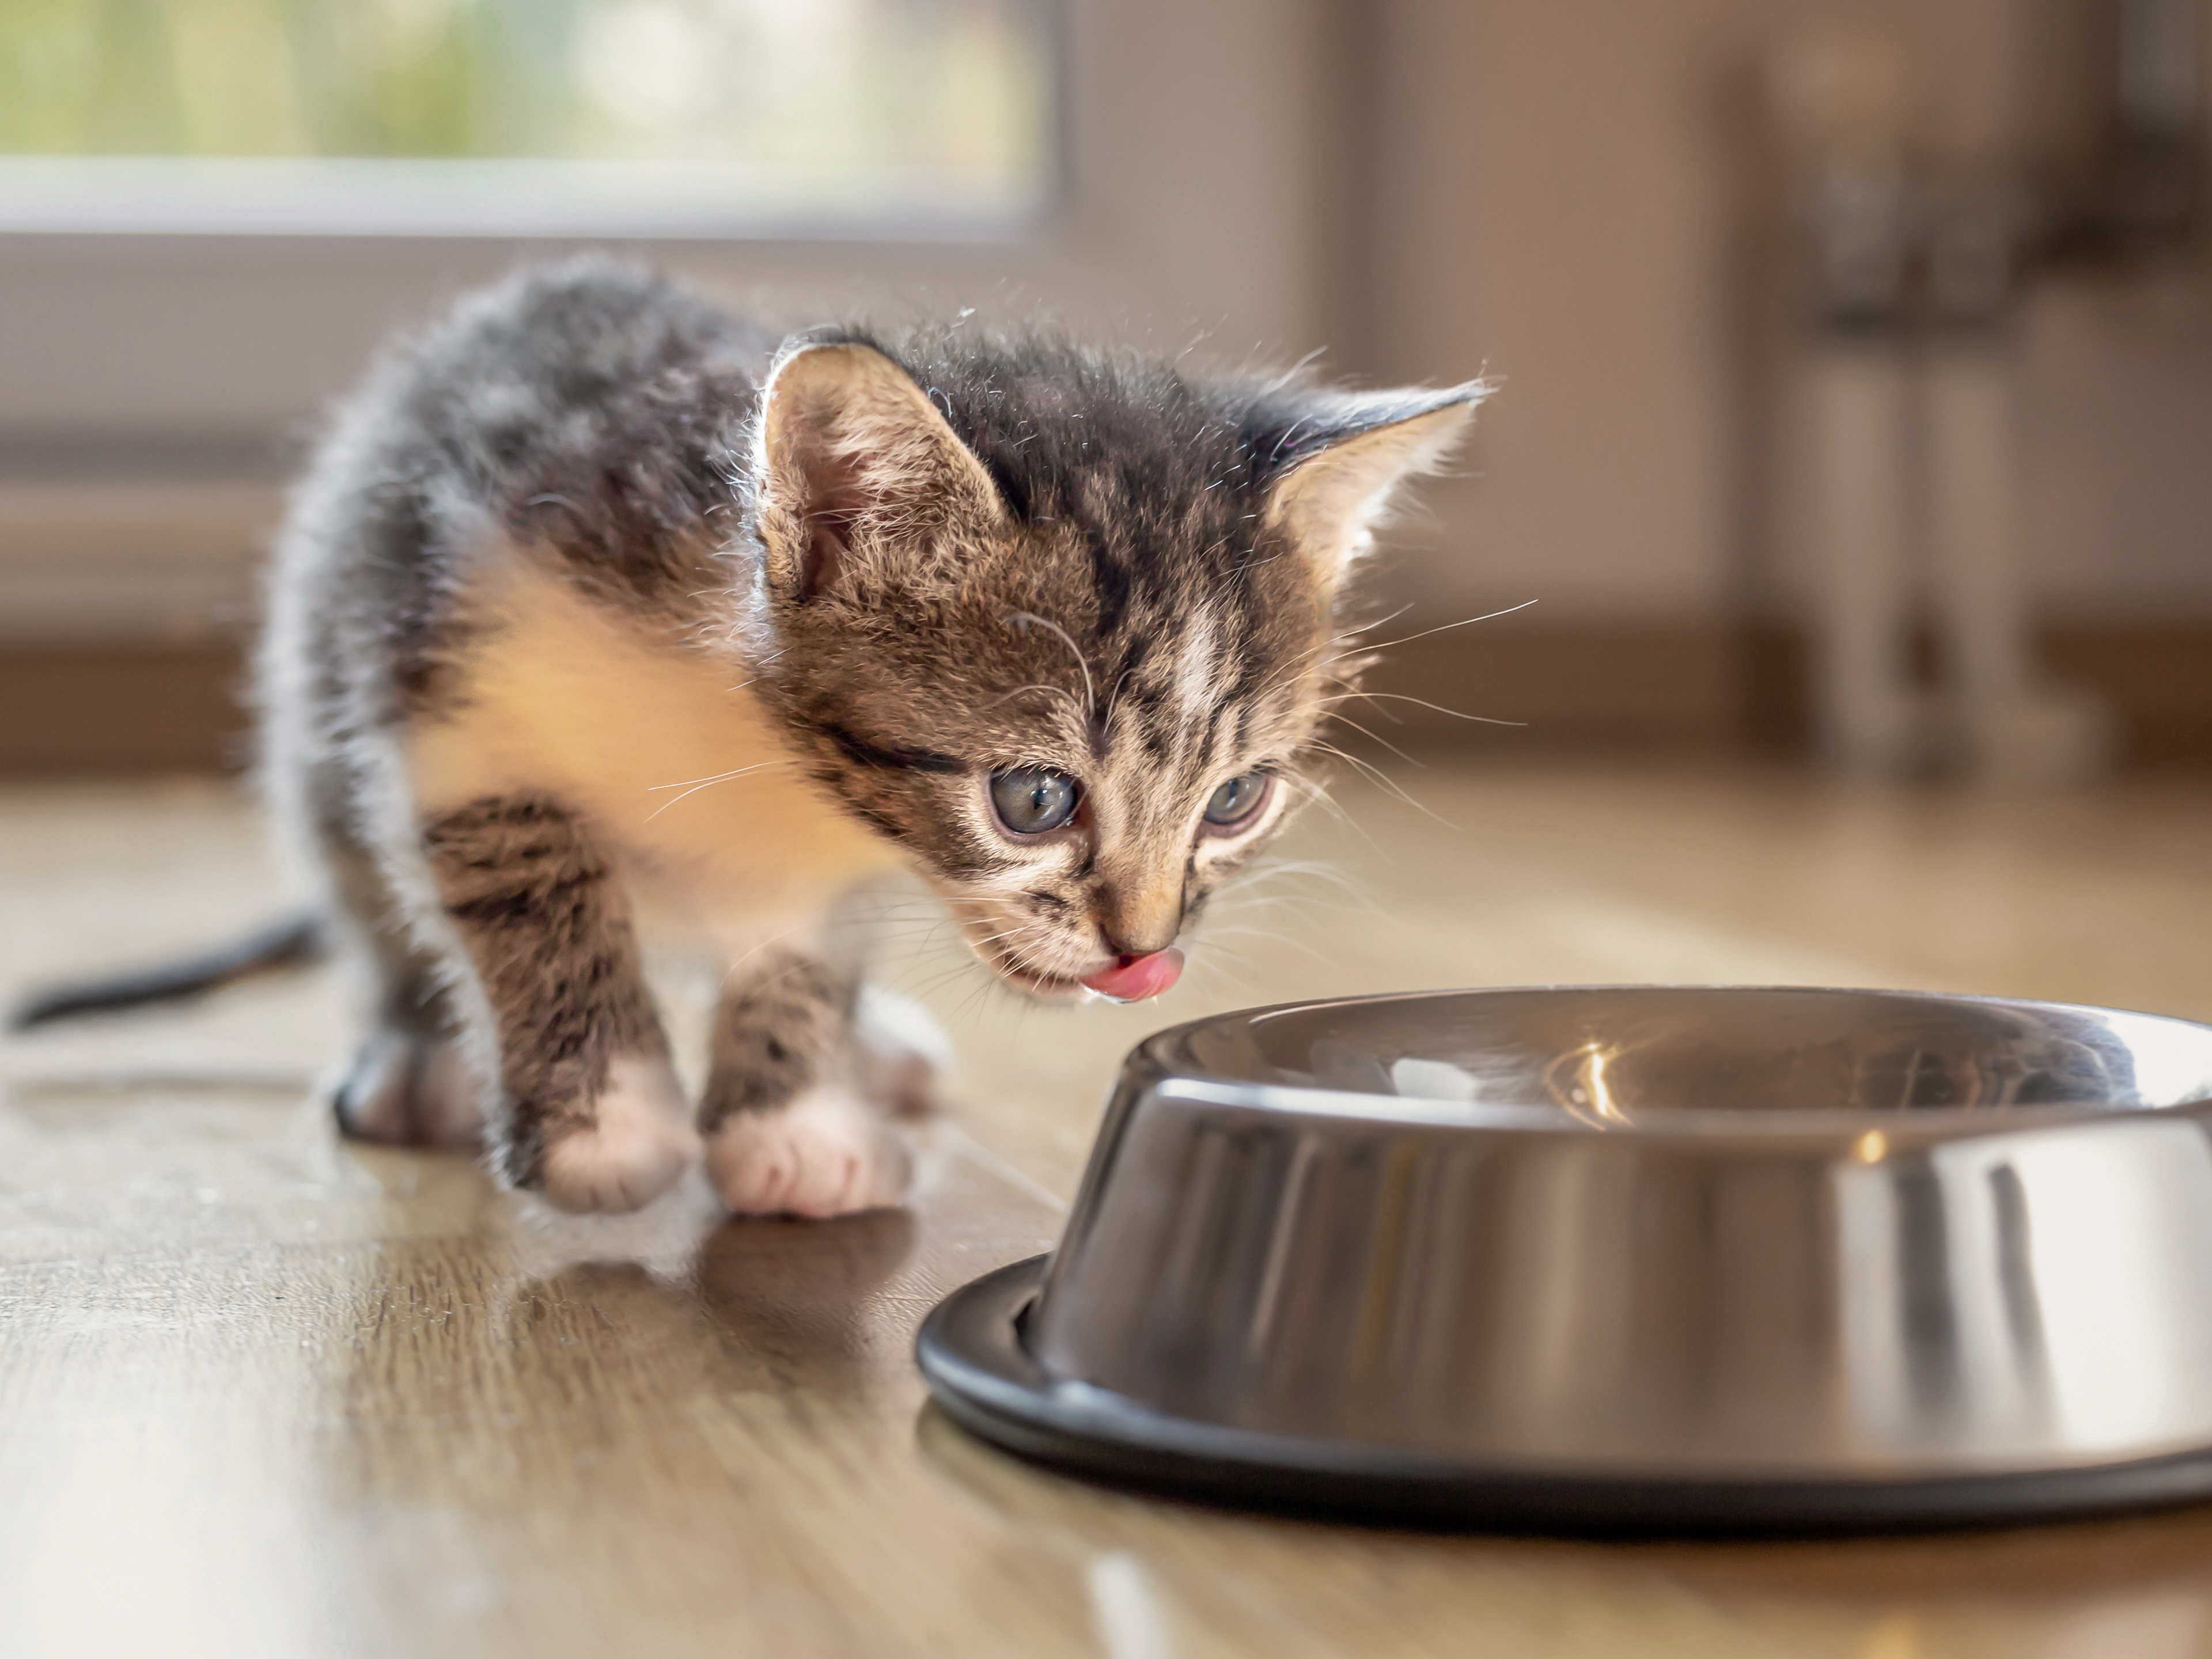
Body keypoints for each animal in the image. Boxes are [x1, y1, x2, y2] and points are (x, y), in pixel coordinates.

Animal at [47, 260, 1486, 1221]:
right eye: (1034, 799)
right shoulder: (450, 685)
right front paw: (610, 1123)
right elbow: (528, 880)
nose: (1148, 957)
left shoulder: (833, 858)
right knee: (364, 886)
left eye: (1236, 800)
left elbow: (801, 955)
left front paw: (797, 1119)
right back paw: (418, 1059)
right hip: (317, 685)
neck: (744, 737)